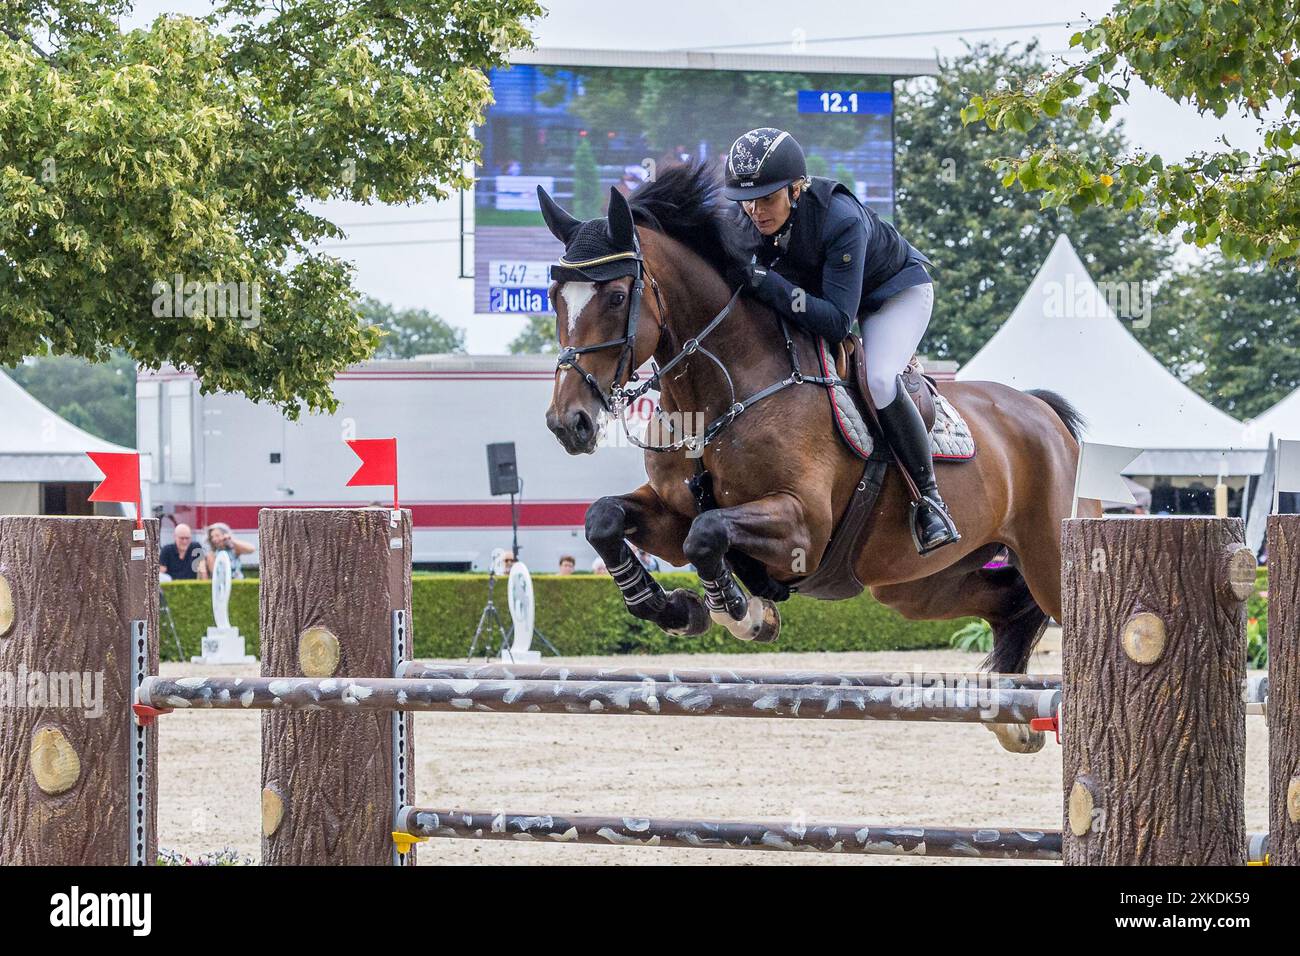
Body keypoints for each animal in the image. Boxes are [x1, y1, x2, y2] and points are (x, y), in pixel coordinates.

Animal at [540, 170, 1097, 754]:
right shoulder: (671, 512)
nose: (568, 423)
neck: (723, 390)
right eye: (555, 297)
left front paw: (746, 614)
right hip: (919, 585)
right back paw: (1010, 718)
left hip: (1046, 557)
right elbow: (607, 519)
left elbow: (708, 533)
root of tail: (1043, 414)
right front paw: (675, 609)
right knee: (1009, 602)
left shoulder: (802, 525)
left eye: (616, 296)